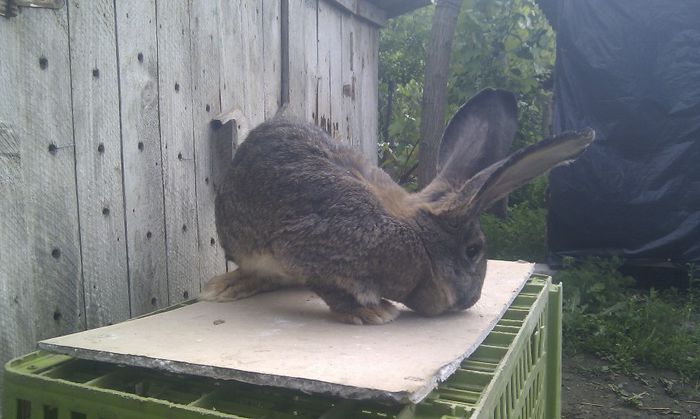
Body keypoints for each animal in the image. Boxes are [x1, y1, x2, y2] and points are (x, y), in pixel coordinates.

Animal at [198, 88, 596, 324]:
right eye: (473, 251)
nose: (470, 301)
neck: (419, 240)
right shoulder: (306, 248)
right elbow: (329, 286)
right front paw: (372, 313)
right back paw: (223, 289)